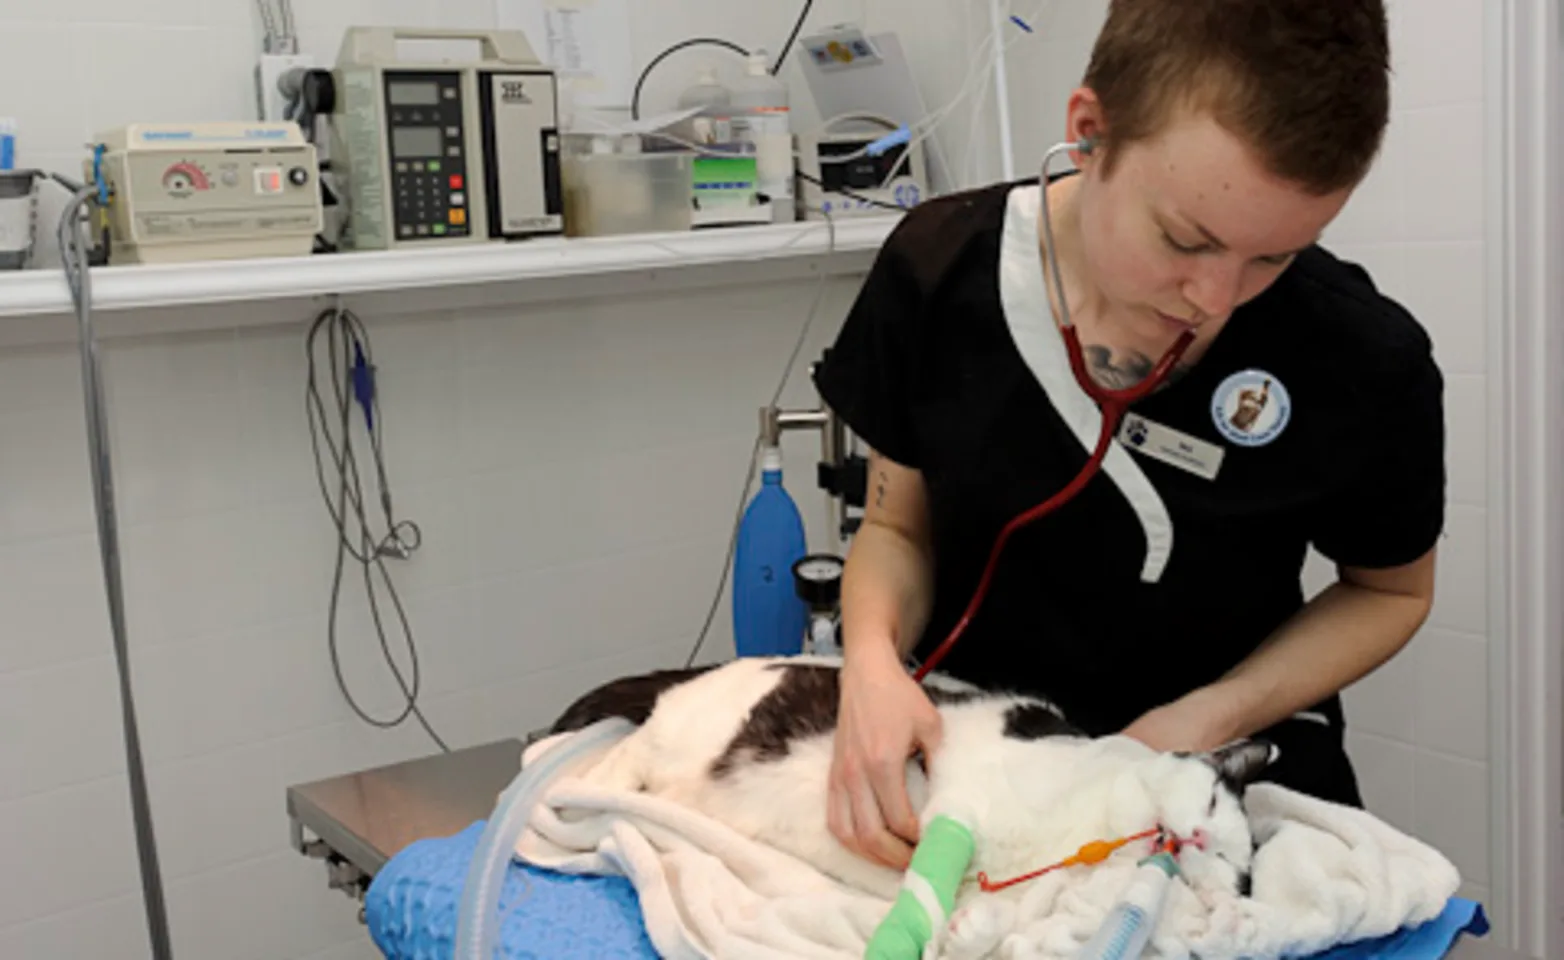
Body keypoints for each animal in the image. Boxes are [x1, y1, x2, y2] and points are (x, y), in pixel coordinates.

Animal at [544, 662, 1276, 919]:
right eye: (1213, 802)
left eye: (1231, 867)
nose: (1198, 837)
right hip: (690, 728)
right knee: (637, 744)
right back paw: (589, 783)